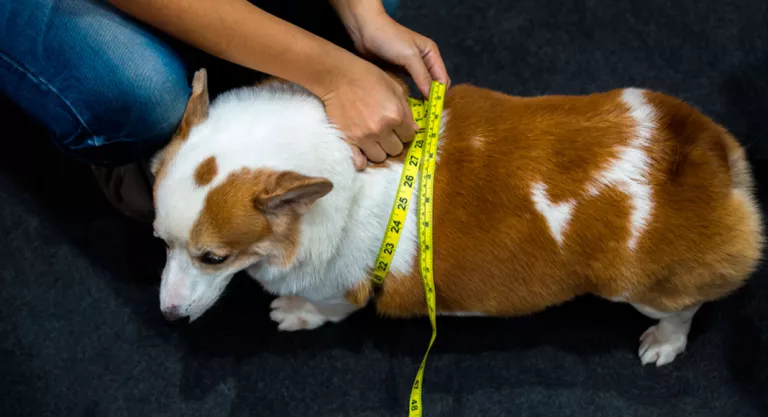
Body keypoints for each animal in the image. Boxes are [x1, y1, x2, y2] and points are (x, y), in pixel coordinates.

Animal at [148, 69, 760, 368]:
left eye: (213, 258)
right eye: (159, 241)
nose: (169, 319)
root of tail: (704, 153)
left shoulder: (340, 290)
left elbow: (324, 309)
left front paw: (294, 313)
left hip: (642, 290)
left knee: (686, 307)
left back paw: (663, 342)